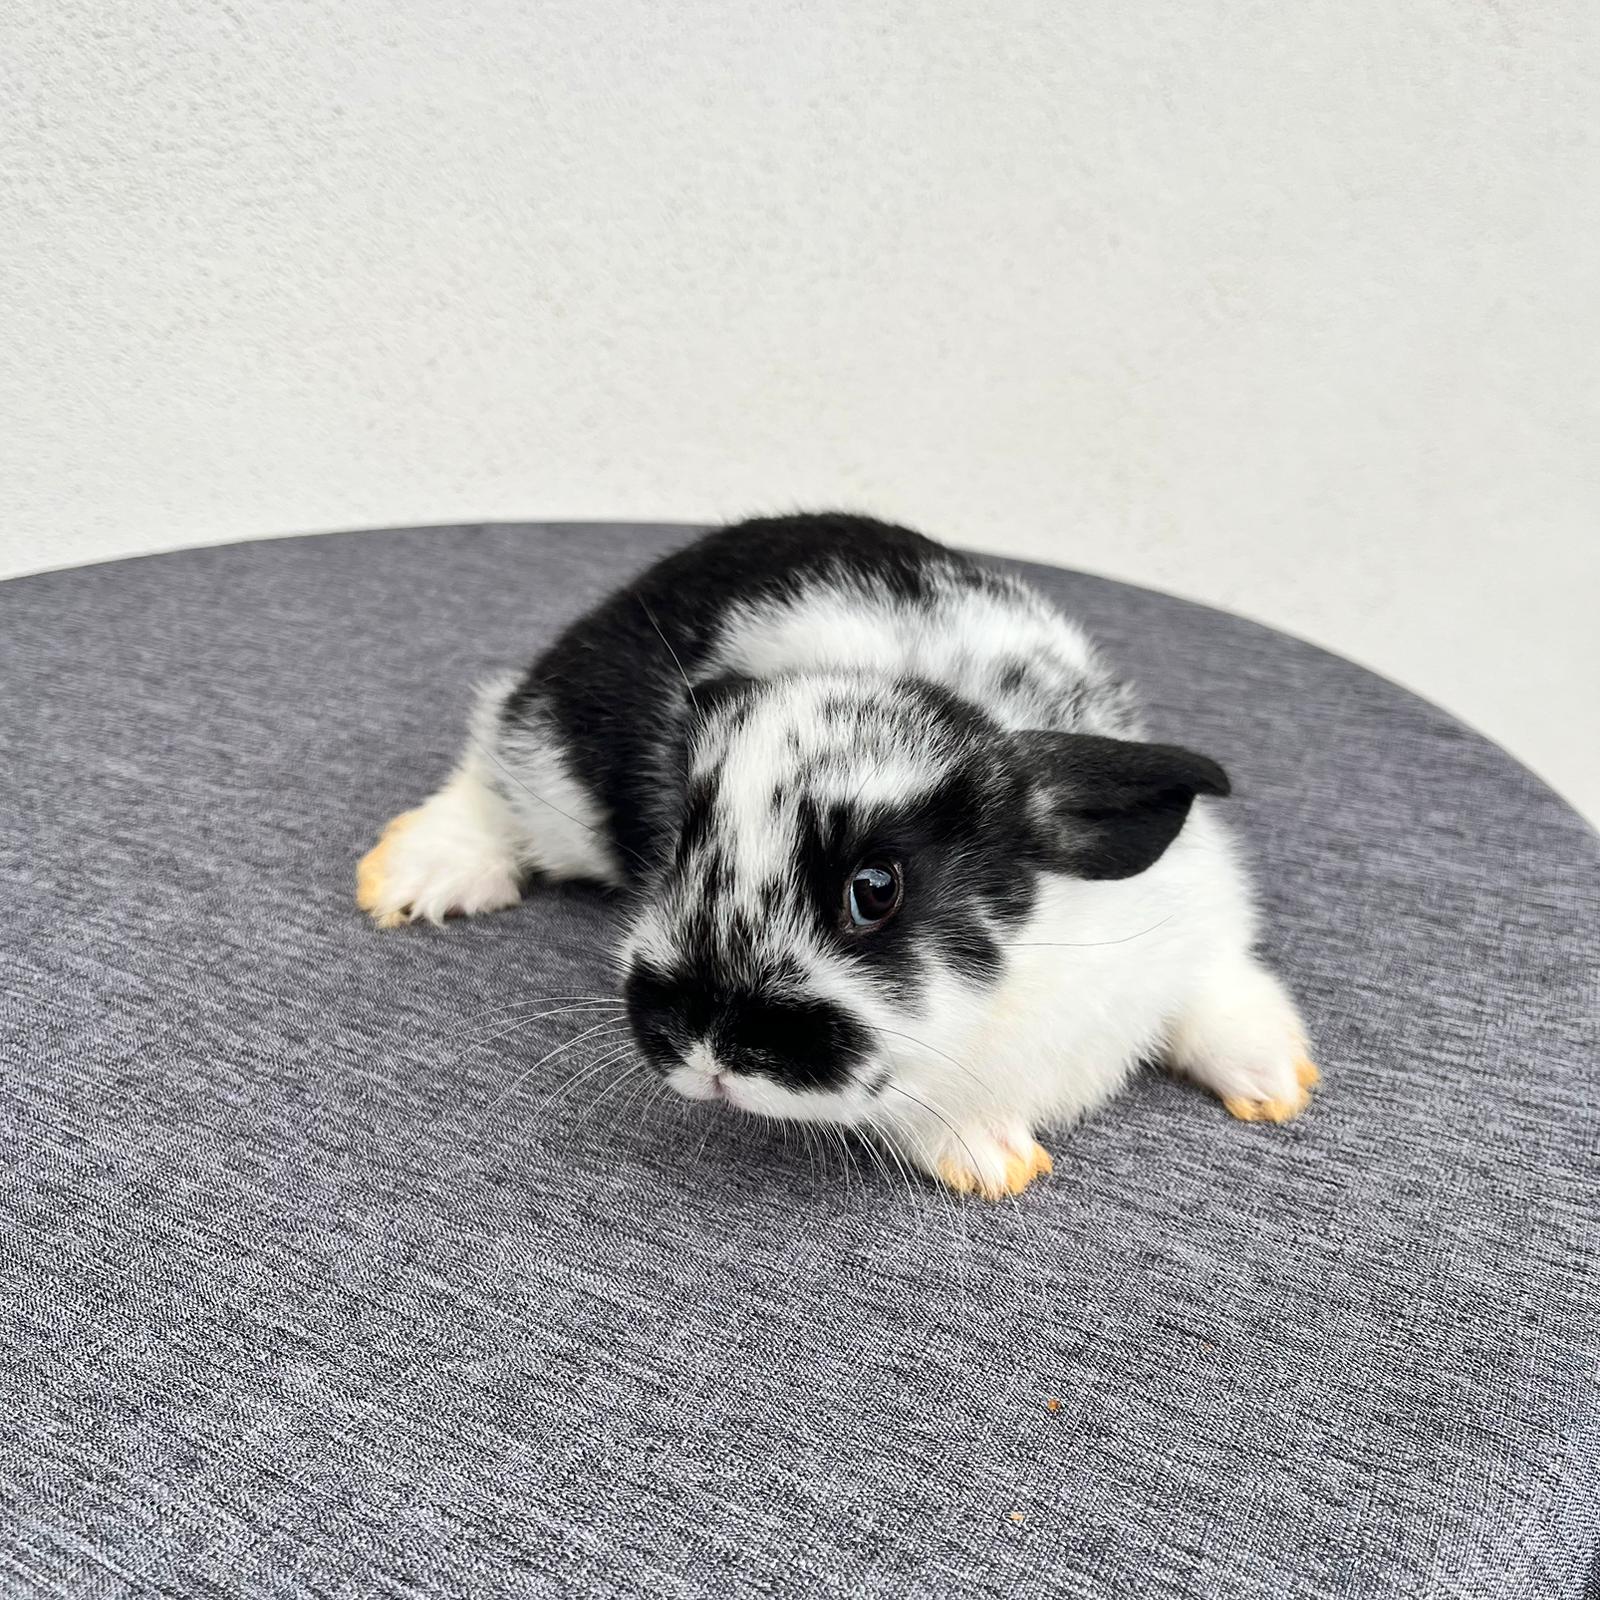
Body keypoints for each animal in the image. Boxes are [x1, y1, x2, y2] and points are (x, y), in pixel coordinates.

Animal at [357, 513, 1318, 1198]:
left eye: (875, 889)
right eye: (683, 847)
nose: (708, 1049)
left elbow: (1218, 991)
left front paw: (1279, 1079)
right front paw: (994, 1159)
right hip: (556, 767)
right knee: (494, 770)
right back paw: (410, 876)